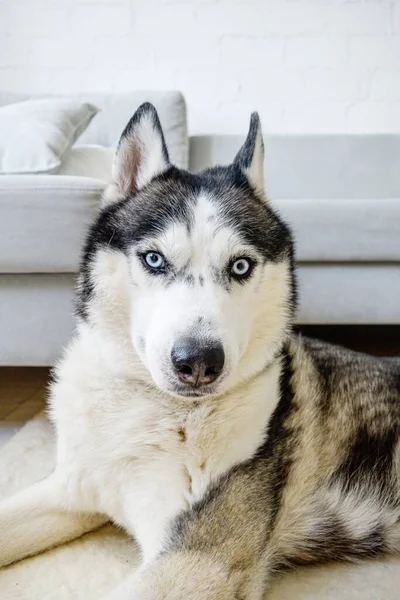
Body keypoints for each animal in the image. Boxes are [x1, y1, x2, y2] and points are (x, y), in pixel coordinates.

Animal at [0, 105, 400, 596]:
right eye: (154, 259)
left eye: (241, 265)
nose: (198, 362)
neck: (148, 408)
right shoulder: (71, 490)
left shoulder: (197, 561)